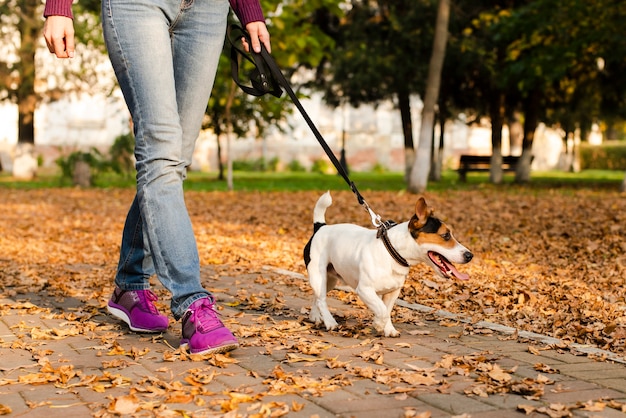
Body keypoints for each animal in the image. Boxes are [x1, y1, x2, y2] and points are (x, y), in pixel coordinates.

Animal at [304, 191, 472, 338]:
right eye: (446, 235)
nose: (470, 255)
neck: (392, 251)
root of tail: (321, 227)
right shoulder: (364, 290)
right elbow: (382, 310)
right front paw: (379, 324)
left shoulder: (393, 292)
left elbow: (387, 309)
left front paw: (388, 329)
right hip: (318, 275)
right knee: (321, 300)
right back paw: (330, 322)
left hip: (330, 280)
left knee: (317, 297)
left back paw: (315, 316)